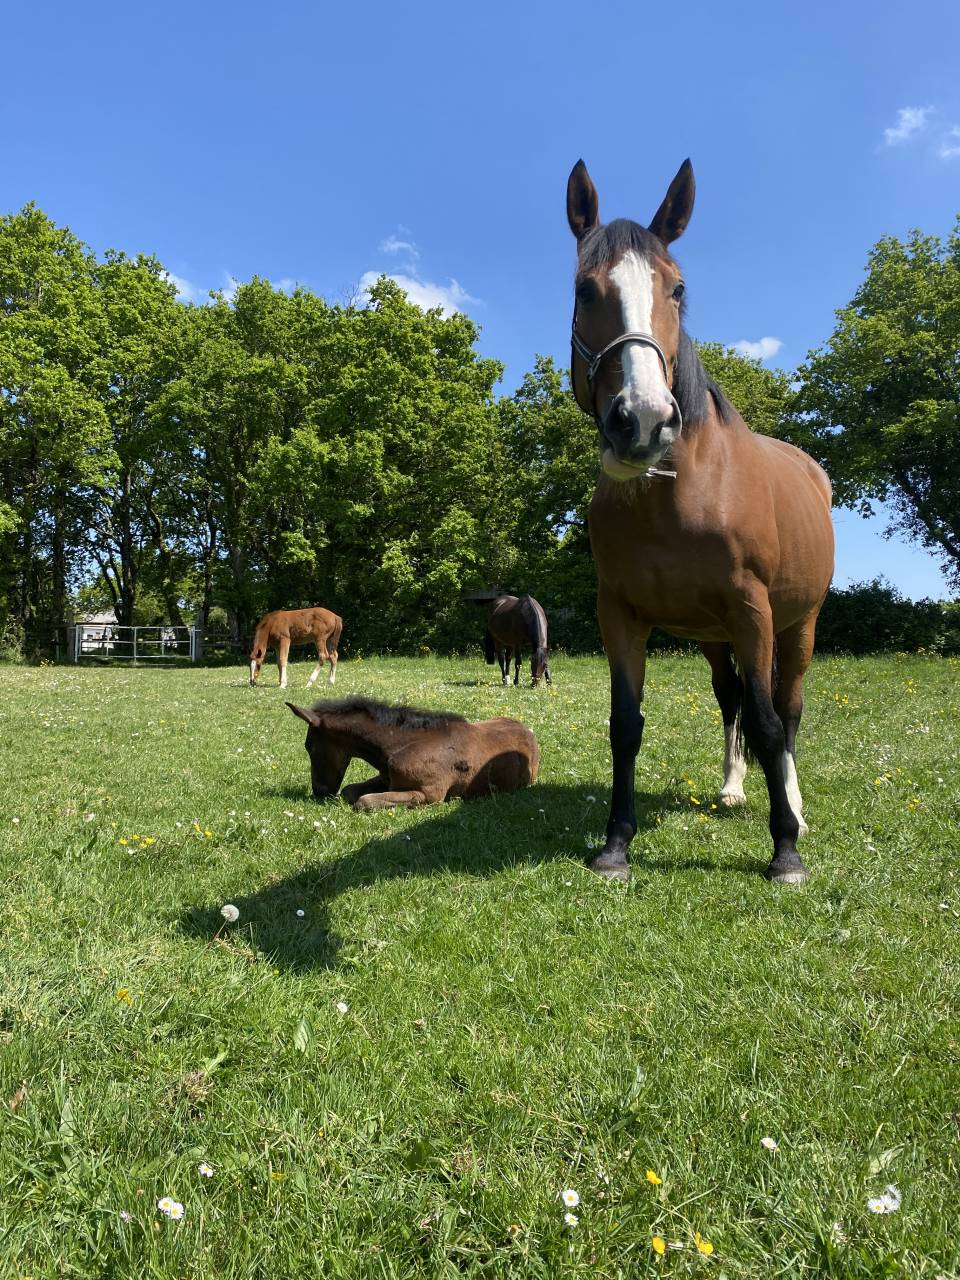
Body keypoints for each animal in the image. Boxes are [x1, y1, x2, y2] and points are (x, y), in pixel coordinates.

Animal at [286, 696, 539, 809]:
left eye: (309, 746)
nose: (319, 792)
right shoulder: (386, 779)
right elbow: (350, 791)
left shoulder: (429, 794)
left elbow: (363, 802)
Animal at [566, 158, 834, 885]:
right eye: (584, 289)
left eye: (678, 288)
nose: (644, 422)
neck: (675, 494)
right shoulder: (620, 614)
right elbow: (625, 725)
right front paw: (616, 844)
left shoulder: (754, 611)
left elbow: (770, 725)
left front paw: (786, 850)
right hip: (714, 637)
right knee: (730, 699)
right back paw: (734, 787)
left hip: (797, 625)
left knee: (786, 711)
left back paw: (793, 804)